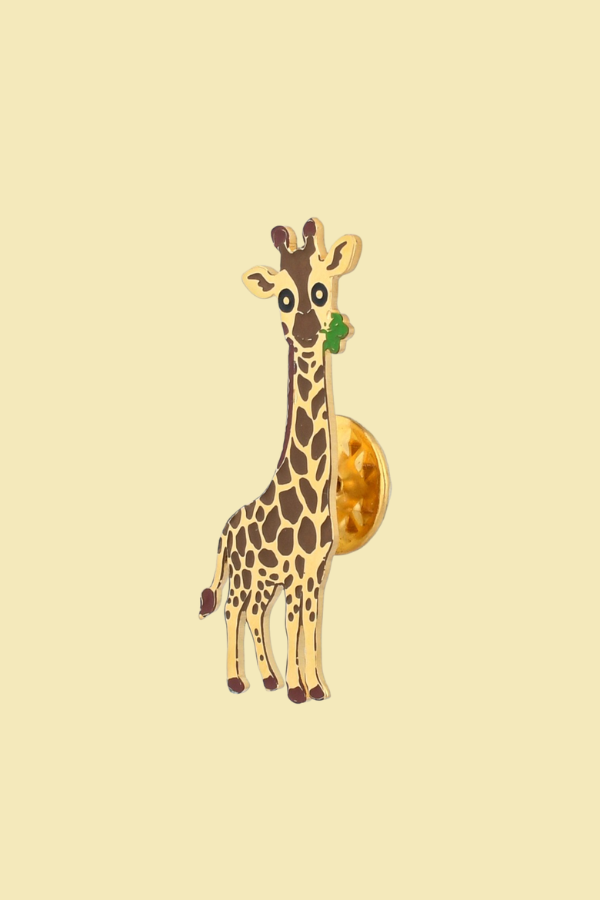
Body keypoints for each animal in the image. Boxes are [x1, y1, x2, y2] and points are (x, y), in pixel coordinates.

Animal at [199, 217, 361, 703]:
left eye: (323, 290)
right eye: (284, 298)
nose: (307, 331)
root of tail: (225, 529)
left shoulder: (314, 571)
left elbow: (310, 625)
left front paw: (314, 687)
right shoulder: (295, 572)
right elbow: (294, 625)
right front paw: (297, 689)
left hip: (260, 579)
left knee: (253, 612)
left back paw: (266, 679)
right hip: (243, 575)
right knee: (232, 609)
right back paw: (237, 681)